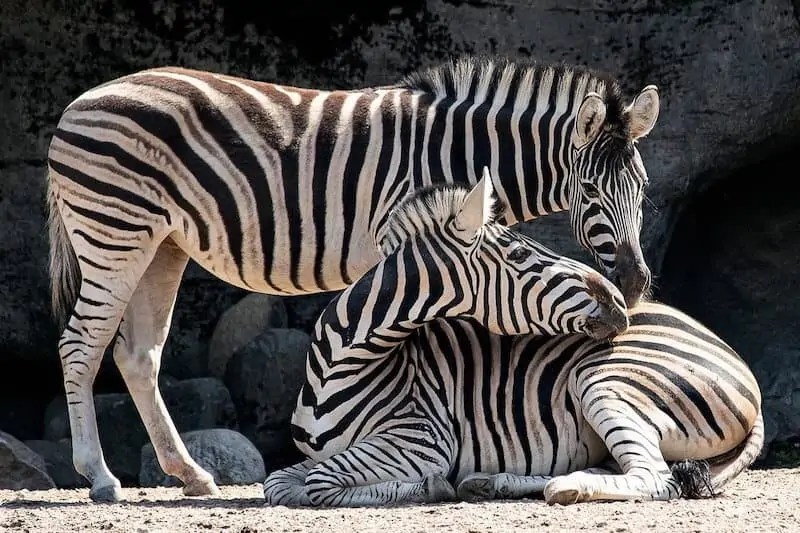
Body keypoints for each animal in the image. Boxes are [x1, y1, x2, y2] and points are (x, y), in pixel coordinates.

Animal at [263, 173, 632, 506]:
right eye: (518, 255)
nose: (620, 300)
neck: (336, 367)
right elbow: (278, 483)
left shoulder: (421, 441)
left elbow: (318, 481)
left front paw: (432, 486)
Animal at [265, 298, 763, 506]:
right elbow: (279, 484)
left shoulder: (421, 439)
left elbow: (318, 484)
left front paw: (430, 486)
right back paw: (494, 483)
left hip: (604, 379)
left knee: (656, 478)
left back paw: (565, 488)